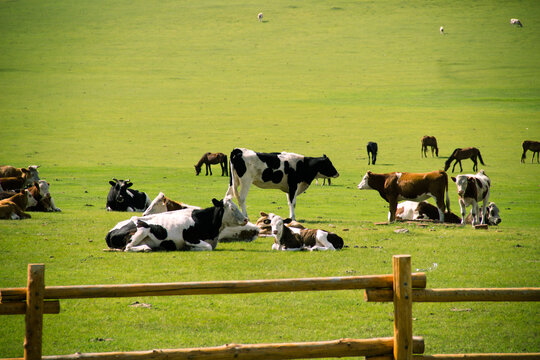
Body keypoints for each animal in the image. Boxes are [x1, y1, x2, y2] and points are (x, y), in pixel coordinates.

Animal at [106, 197, 249, 253]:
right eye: (232, 208)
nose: (246, 219)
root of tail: (111, 231)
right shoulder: (190, 238)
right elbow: (207, 247)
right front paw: (190, 248)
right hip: (142, 228)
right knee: (128, 247)